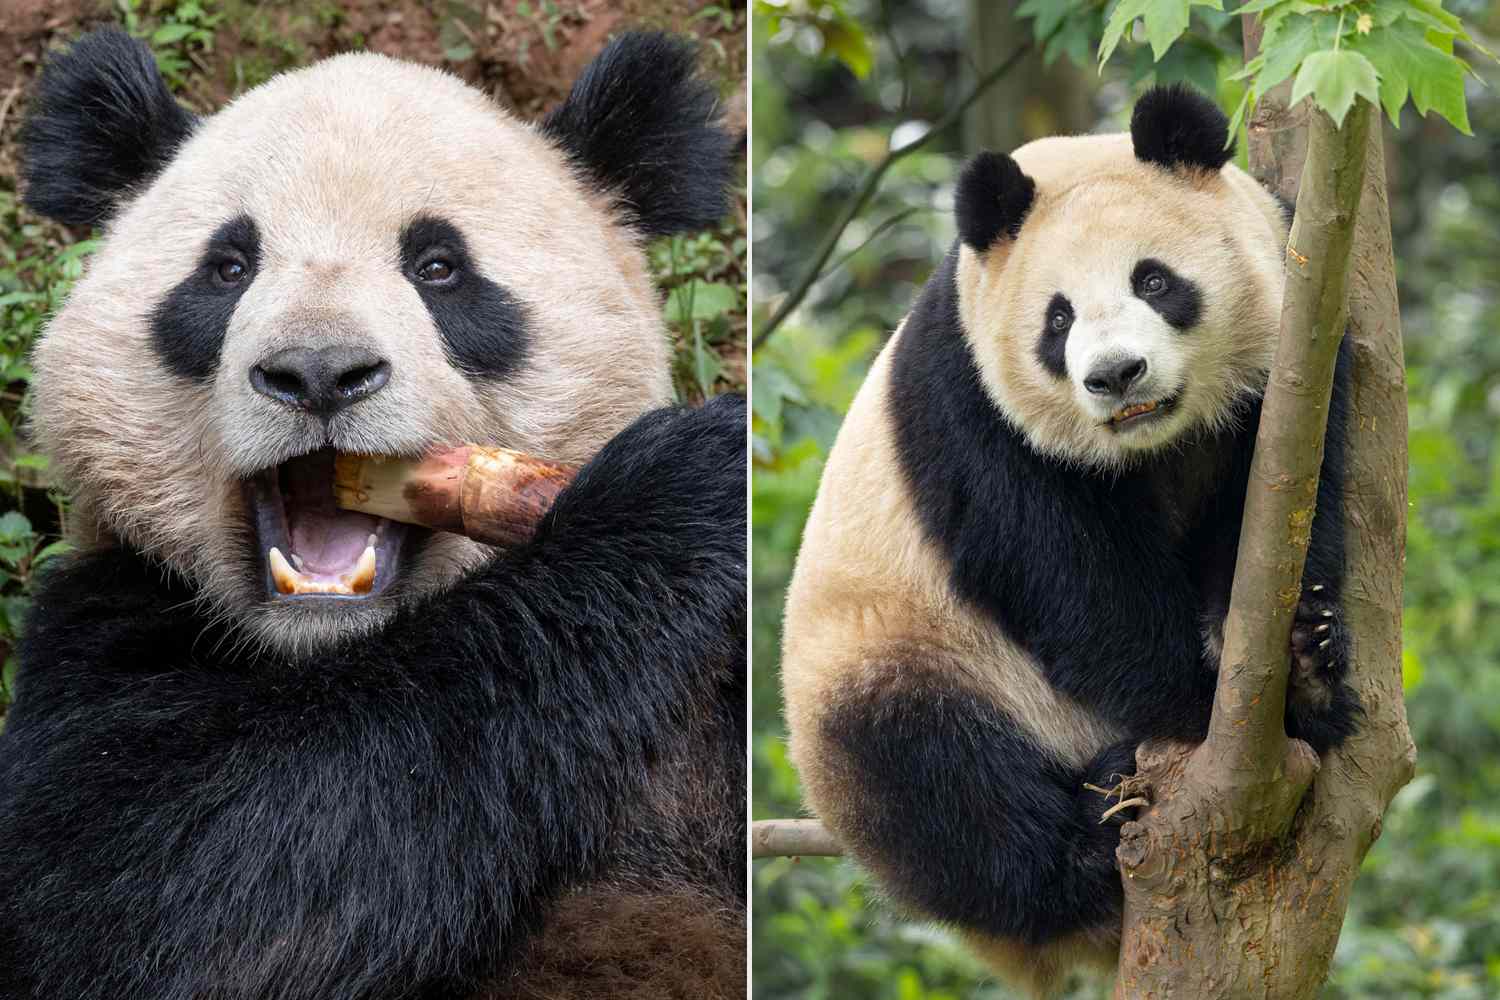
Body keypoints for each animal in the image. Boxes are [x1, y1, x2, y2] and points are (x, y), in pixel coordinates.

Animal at [0, 23, 744, 1000]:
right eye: (228, 267)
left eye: (439, 267)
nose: (317, 372)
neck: (336, 652)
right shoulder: (104, 618)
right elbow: (172, 891)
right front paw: (675, 491)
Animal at [786, 88, 1362, 1000]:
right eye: (1057, 319)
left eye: (1154, 280)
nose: (1116, 375)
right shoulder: (970, 400)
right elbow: (1068, 578)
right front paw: (1202, 702)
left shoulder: (1298, 342)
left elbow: (1280, 509)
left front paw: (1302, 664)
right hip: (896, 650)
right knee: (925, 775)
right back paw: (1093, 836)